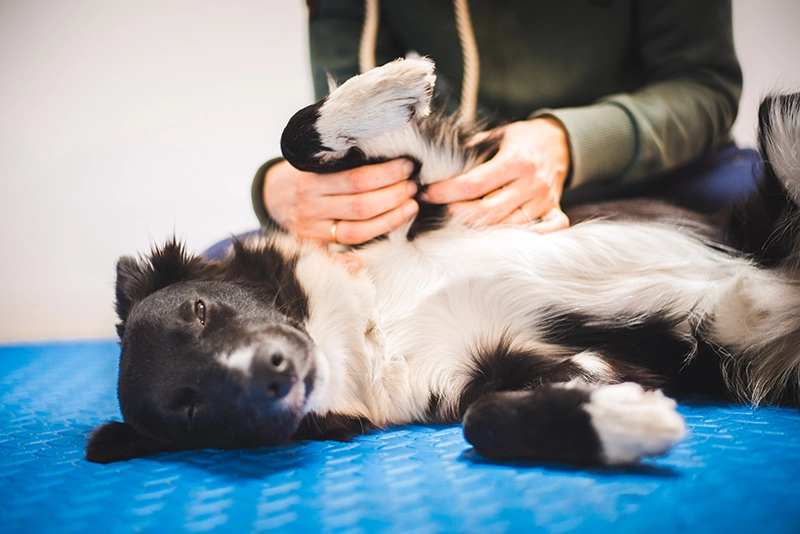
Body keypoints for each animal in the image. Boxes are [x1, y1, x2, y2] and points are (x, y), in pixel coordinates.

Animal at [86, 58, 800, 466]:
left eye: (200, 309)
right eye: (189, 408)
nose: (272, 370)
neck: (374, 322)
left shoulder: (439, 183)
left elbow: (297, 136)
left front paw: (391, 83)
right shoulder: (515, 371)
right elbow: (485, 421)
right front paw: (623, 423)